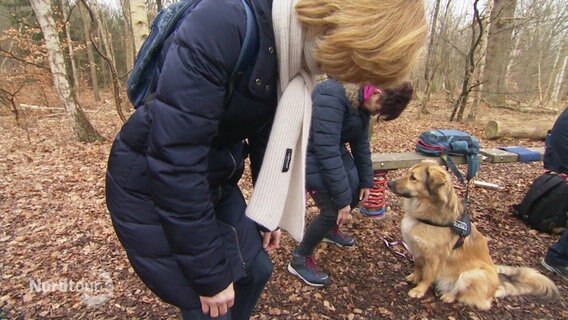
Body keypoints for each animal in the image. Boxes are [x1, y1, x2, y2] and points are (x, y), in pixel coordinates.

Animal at [386, 160, 560, 310]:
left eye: (413, 178)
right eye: (408, 173)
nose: (389, 183)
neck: (425, 210)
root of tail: (495, 287)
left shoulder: (435, 257)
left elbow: (427, 276)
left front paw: (419, 290)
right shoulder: (417, 249)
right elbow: (418, 266)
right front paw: (414, 277)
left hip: (473, 273)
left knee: (464, 293)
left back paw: (449, 296)